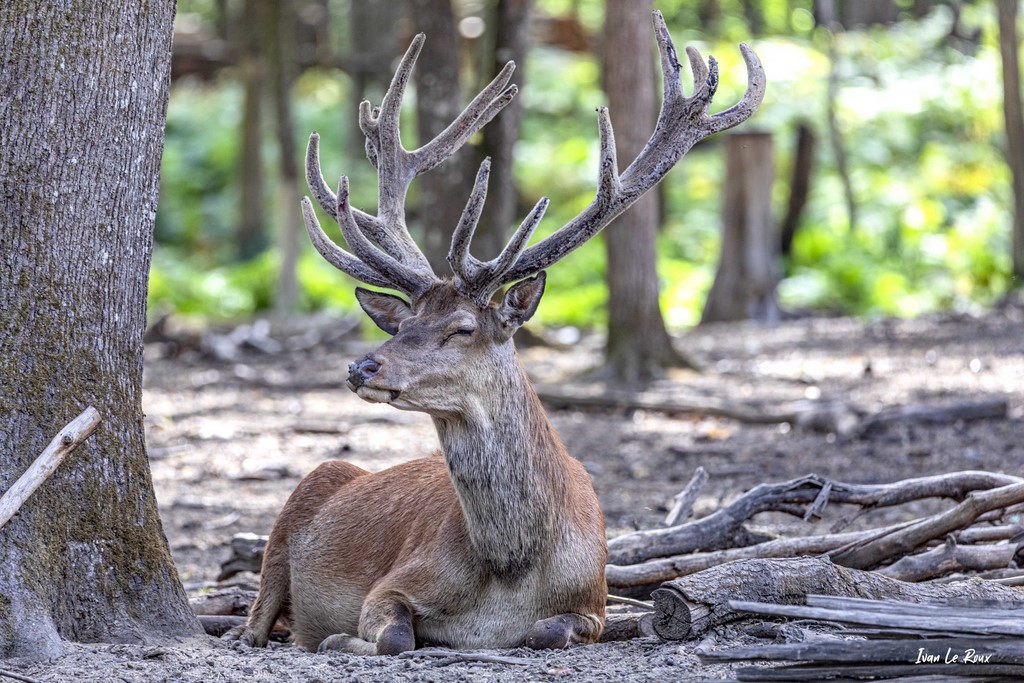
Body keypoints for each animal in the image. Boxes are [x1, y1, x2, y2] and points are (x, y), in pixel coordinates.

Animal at [227, 11, 763, 655]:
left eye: (461, 328)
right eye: (404, 322)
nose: (363, 366)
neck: (509, 571)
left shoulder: (594, 601)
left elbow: (548, 631)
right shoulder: (393, 583)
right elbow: (394, 638)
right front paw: (339, 640)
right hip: (283, 530)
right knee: (252, 625)